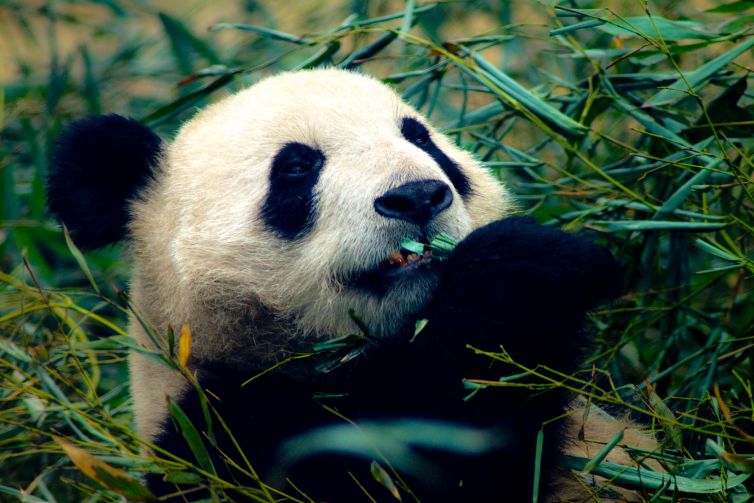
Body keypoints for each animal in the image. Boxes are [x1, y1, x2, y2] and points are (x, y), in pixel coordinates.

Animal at [47, 68, 647, 502]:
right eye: (296, 167)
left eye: (422, 139)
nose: (417, 196)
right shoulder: (226, 443)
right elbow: (429, 460)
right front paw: (518, 273)